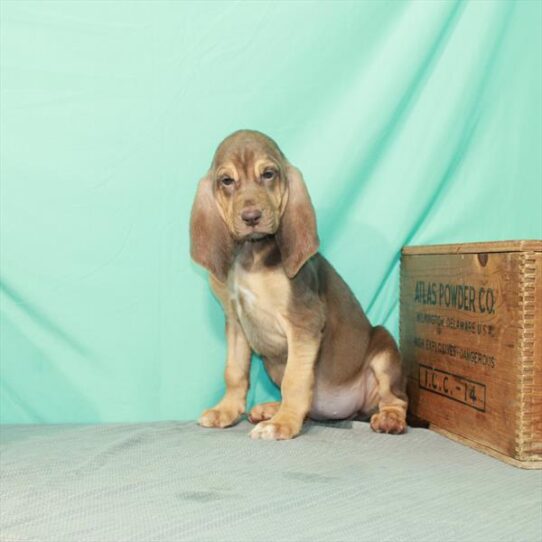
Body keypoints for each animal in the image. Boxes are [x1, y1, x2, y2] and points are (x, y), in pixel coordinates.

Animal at [191, 131, 408, 442]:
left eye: (268, 174)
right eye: (227, 180)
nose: (251, 217)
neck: (251, 255)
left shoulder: (304, 321)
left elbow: (295, 380)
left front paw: (283, 424)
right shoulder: (235, 322)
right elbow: (234, 372)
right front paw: (226, 411)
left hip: (384, 347)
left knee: (396, 398)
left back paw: (389, 418)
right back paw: (270, 409)